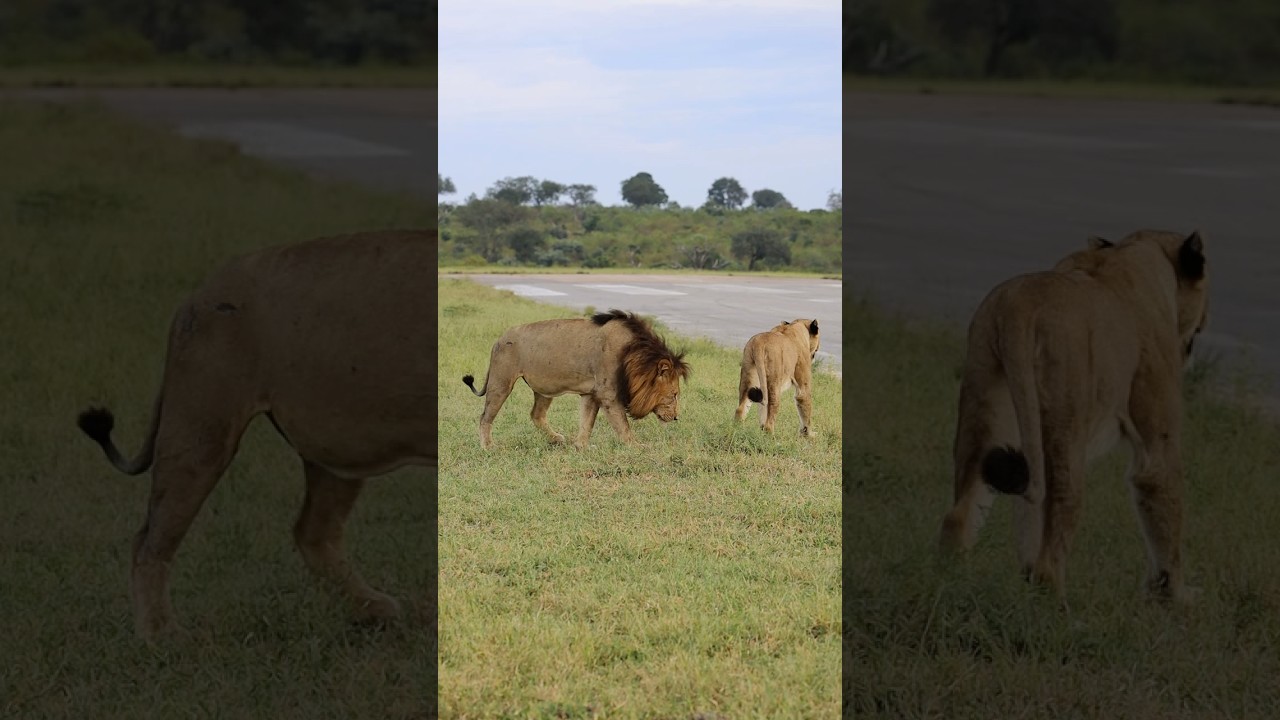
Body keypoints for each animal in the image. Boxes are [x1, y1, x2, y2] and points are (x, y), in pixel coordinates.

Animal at [77, 228, 433, 640]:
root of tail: (195, 295)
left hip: (339, 444)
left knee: (312, 531)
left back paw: (372, 610)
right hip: (201, 428)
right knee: (149, 540)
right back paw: (162, 635)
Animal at [463, 309, 690, 449]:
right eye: (674, 395)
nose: (676, 417)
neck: (634, 353)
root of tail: (499, 339)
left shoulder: (591, 393)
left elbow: (586, 422)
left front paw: (581, 446)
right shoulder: (607, 394)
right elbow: (623, 425)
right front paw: (636, 446)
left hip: (544, 388)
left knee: (536, 414)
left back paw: (556, 438)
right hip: (501, 382)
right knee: (485, 417)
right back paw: (488, 446)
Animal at [939, 229, 1209, 604]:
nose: (1205, 322)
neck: (1140, 254)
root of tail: (1019, 305)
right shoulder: (1157, 442)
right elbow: (1165, 506)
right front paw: (1176, 596)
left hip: (987, 410)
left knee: (959, 519)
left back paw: (953, 587)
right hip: (1065, 424)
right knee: (1050, 557)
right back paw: (1057, 611)